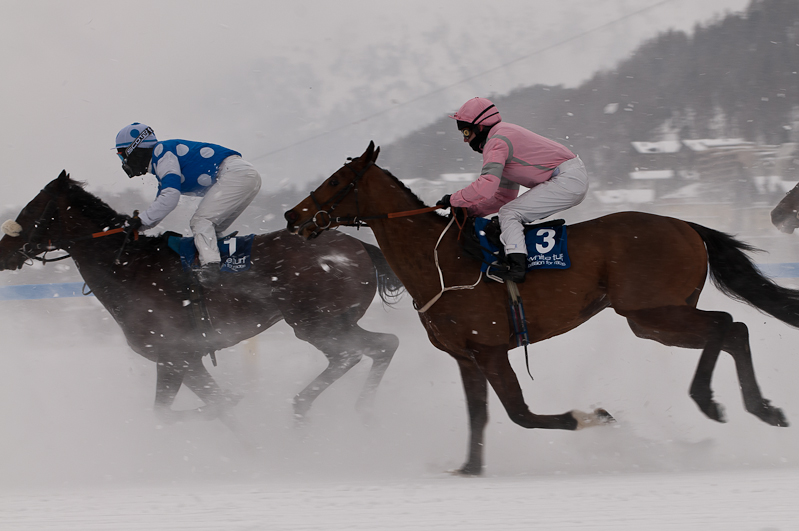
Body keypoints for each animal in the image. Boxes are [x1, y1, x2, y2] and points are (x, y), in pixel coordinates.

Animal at [0, 170, 404, 428]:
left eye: (31, 209)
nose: (3, 250)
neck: (128, 267)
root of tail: (360, 246)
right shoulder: (184, 360)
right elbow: (206, 407)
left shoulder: (174, 356)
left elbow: (190, 410)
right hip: (333, 321)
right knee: (383, 345)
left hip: (317, 323)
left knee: (359, 352)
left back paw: (313, 407)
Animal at [286, 142, 799, 478]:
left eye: (336, 181)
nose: (293, 216)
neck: (440, 261)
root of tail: (685, 224)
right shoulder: (466, 355)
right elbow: (481, 414)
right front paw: (468, 468)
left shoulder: (492, 350)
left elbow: (520, 413)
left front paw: (593, 416)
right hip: (653, 318)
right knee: (733, 329)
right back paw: (762, 408)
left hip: (650, 312)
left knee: (727, 325)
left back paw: (713, 401)